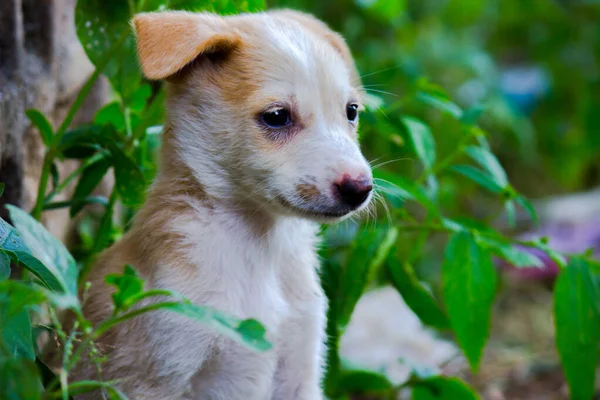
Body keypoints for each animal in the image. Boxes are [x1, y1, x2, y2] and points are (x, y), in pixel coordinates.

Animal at [77, 9, 372, 400]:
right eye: (277, 116)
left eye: (351, 111)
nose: (361, 188)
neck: (261, 250)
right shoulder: (152, 374)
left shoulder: (300, 370)